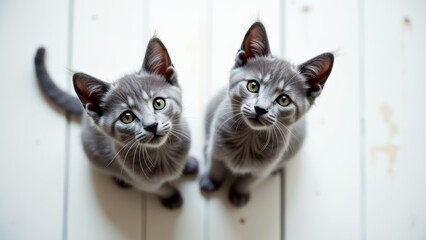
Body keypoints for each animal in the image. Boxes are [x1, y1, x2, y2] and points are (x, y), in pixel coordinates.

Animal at [34, 37, 198, 208]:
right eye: (127, 117)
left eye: (159, 103)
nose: (151, 126)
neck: (162, 152)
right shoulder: (142, 182)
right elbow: (160, 188)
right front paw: (171, 196)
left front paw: (187, 164)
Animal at [200, 21, 332, 207]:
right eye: (253, 85)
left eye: (284, 100)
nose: (260, 109)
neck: (248, 138)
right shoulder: (216, 148)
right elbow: (215, 167)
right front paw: (211, 181)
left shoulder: (262, 170)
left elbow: (247, 181)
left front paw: (239, 193)